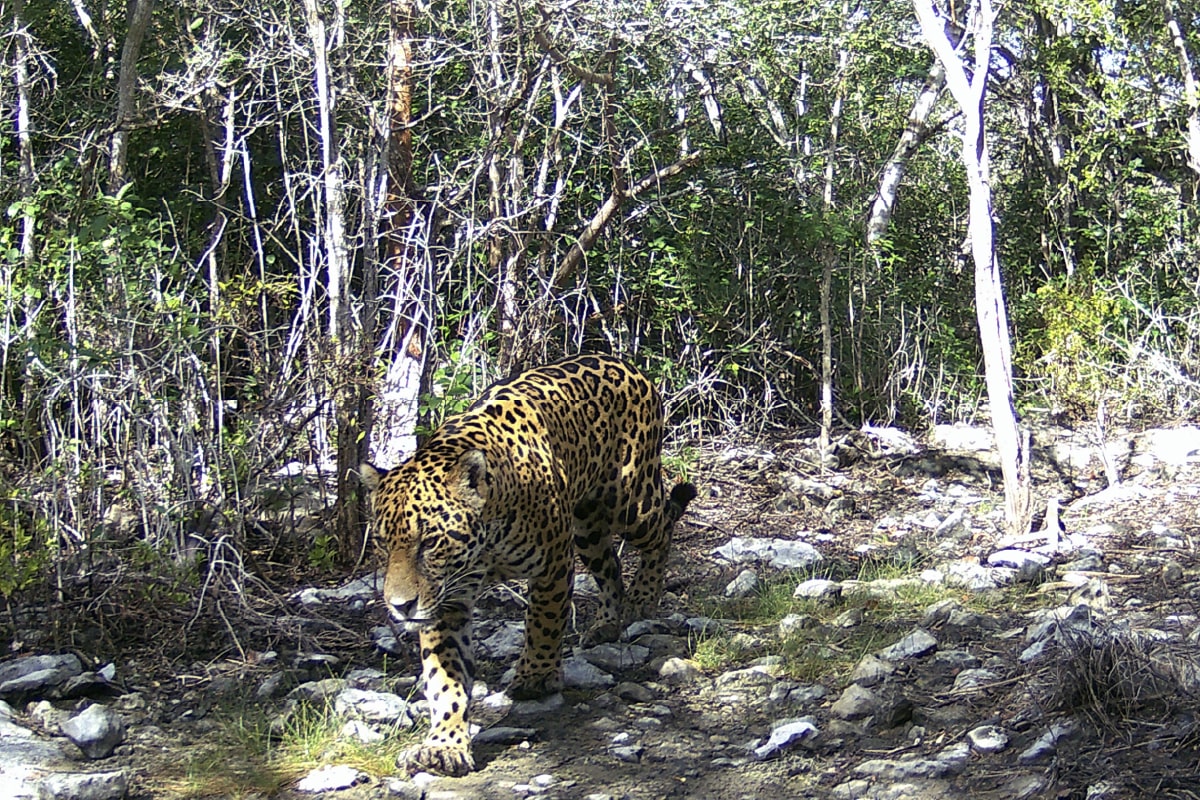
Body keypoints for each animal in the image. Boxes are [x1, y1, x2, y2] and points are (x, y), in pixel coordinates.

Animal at [360, 353, 696, 777]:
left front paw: (535, 676)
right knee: (610, 567)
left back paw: (643, 598)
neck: (482, 549)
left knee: (662, 528)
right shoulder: (445, 602)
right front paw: (444, 744)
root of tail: (625, 363)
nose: (400, 607)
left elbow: (544, 622)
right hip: (587, 527)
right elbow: (445, 674)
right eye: (383, 543)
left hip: (631, 500)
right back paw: (607, 623)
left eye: (430, 542)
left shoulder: (552, 563)